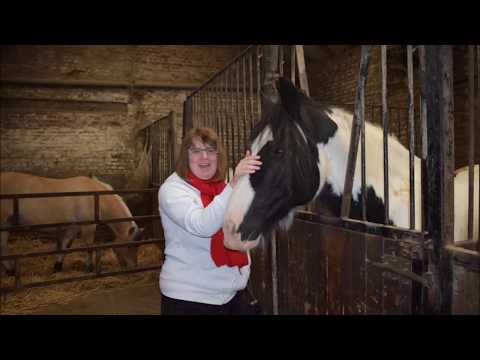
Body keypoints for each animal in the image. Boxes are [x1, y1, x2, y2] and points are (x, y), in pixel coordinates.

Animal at [0, 172, 143, 276]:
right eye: (129, 246)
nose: (134, 267)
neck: (97, 197)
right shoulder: (88, 227)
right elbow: (89, 247)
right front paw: (89, 268)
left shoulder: (73, 227)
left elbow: (65, 245)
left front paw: (57, 267)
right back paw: (11, 271)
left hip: (7, 224)